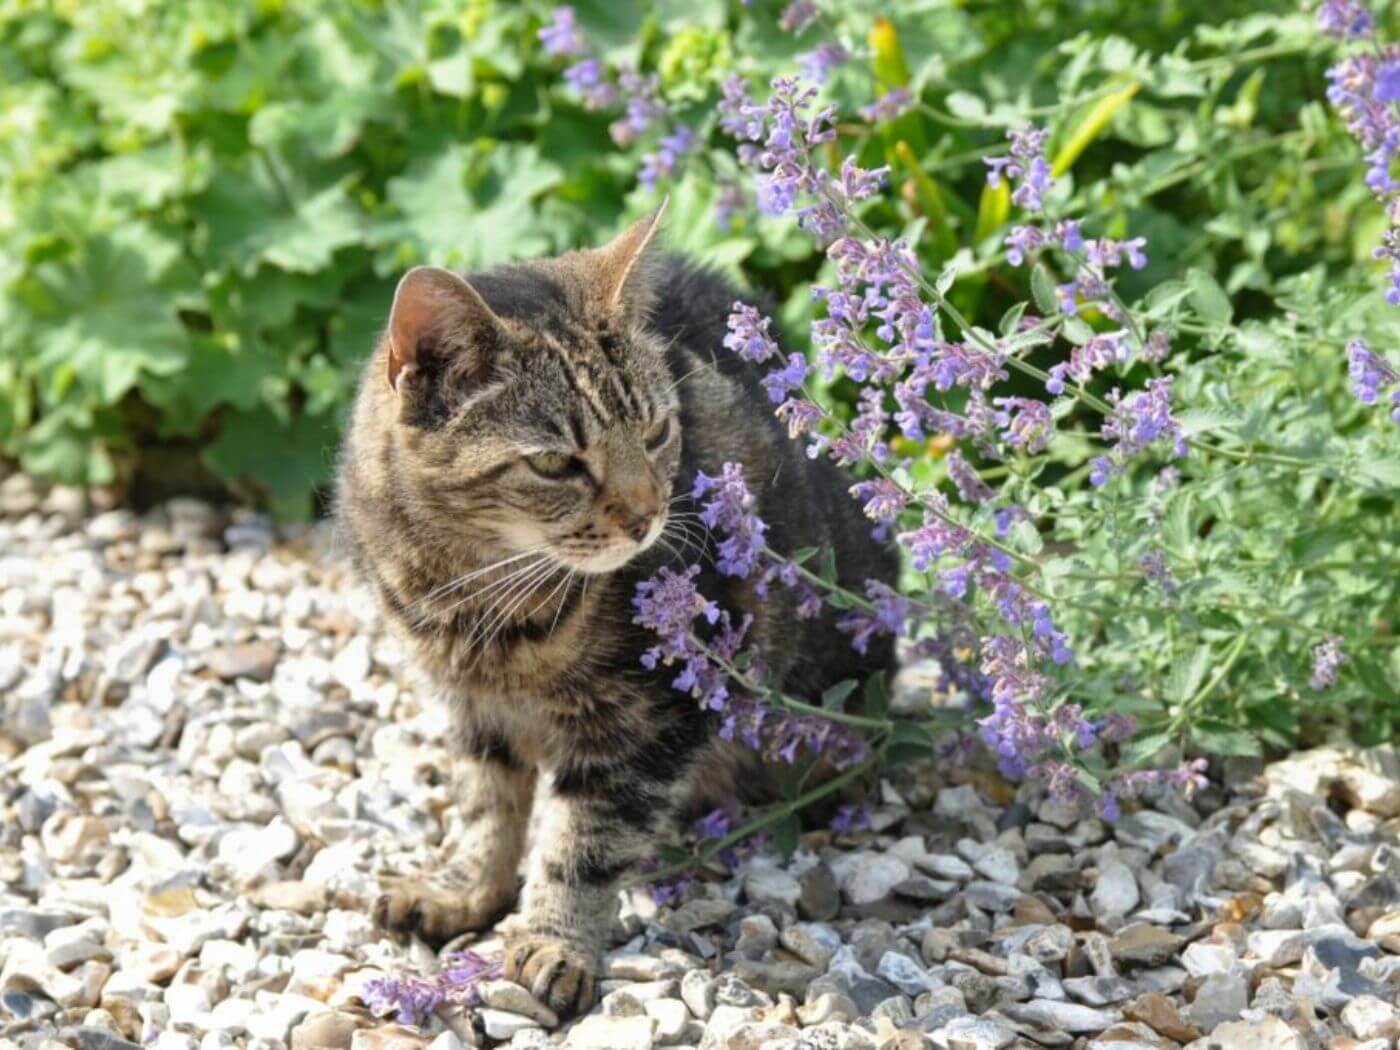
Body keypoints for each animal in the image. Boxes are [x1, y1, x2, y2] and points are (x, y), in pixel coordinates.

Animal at [333, 205, 890, 1019]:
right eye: (555, 463)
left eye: (657, 431)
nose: (647, 515)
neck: (479, 597)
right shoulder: (471, 707)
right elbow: (485, 807)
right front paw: (463, 892)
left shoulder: (649, 718)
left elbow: (582, 846)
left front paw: (551, 943)